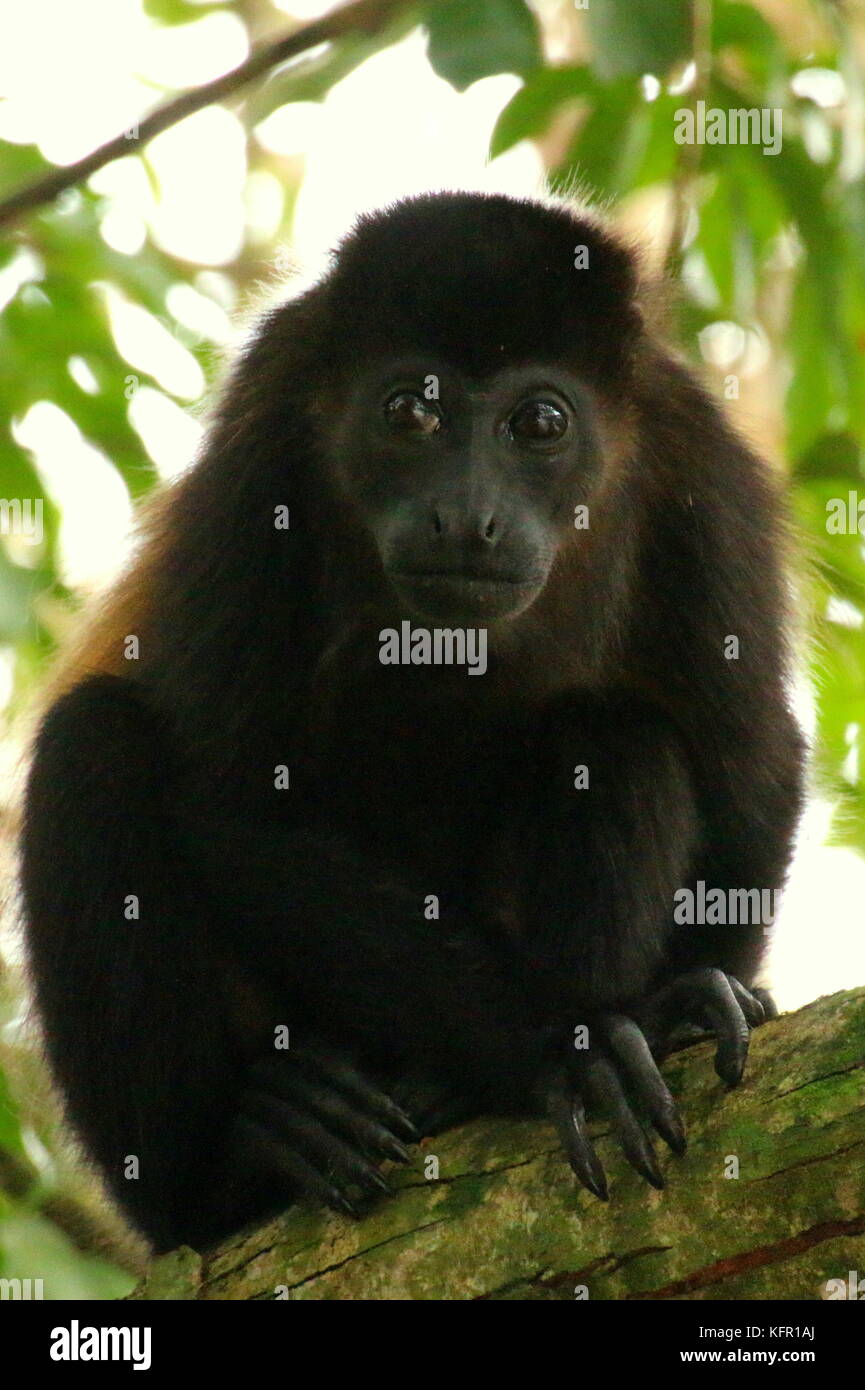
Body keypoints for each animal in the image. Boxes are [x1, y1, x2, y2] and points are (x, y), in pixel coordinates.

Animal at [20, 193, 806, 1251]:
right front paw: (566, 1046)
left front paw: (680, 1008)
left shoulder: (696, 459)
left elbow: (749, 765)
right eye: (409, 410)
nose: (466, 517)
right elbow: (232, 800)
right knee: (91, 745)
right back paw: (244, 1163)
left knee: (614, 732)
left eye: (540, 421)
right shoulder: (266, 431)